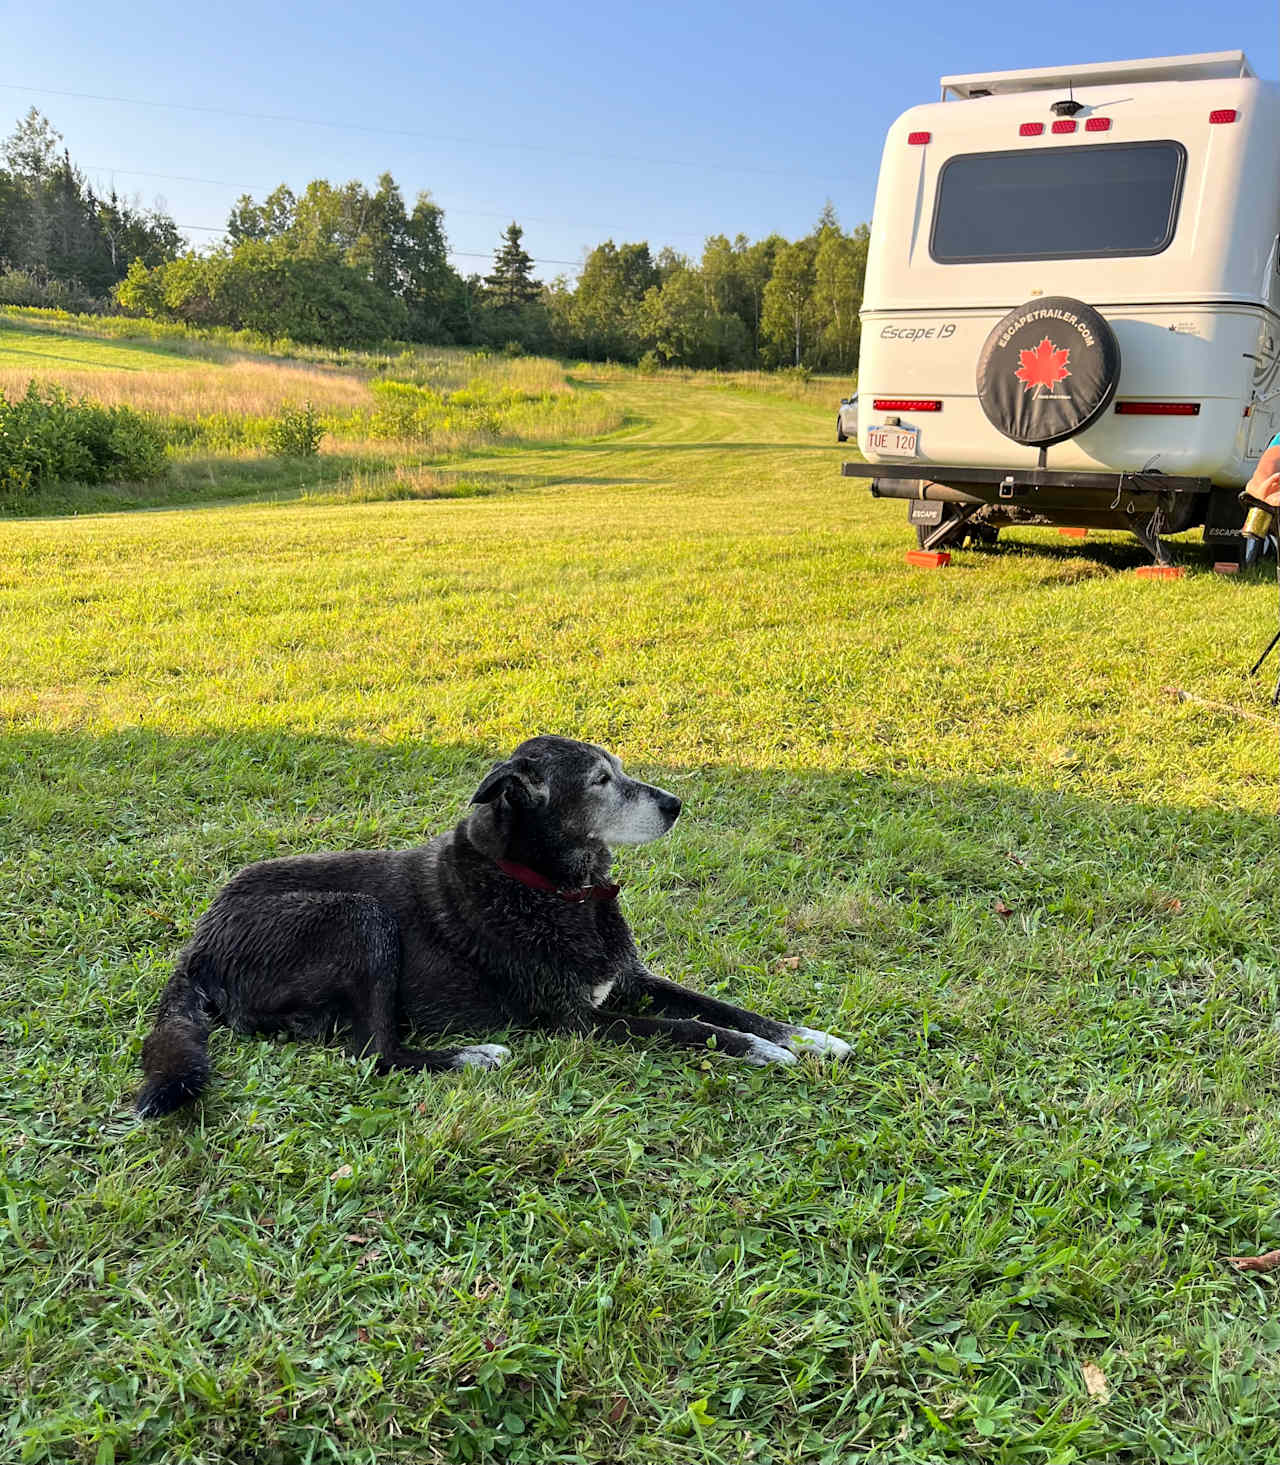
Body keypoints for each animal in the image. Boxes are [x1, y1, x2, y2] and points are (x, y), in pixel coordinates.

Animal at [136, 738, 849, 1113]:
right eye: (600, 781)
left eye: (619, 770)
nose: (676, 805)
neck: (553, 889)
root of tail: (197, 945)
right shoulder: (580, 1021)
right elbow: (693, 1027)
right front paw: (761, 1051)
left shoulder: (627, 980)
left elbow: (721, 1006)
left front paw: (807, 1036)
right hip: (359, 917)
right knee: (375, 1055)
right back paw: (472, 1056)